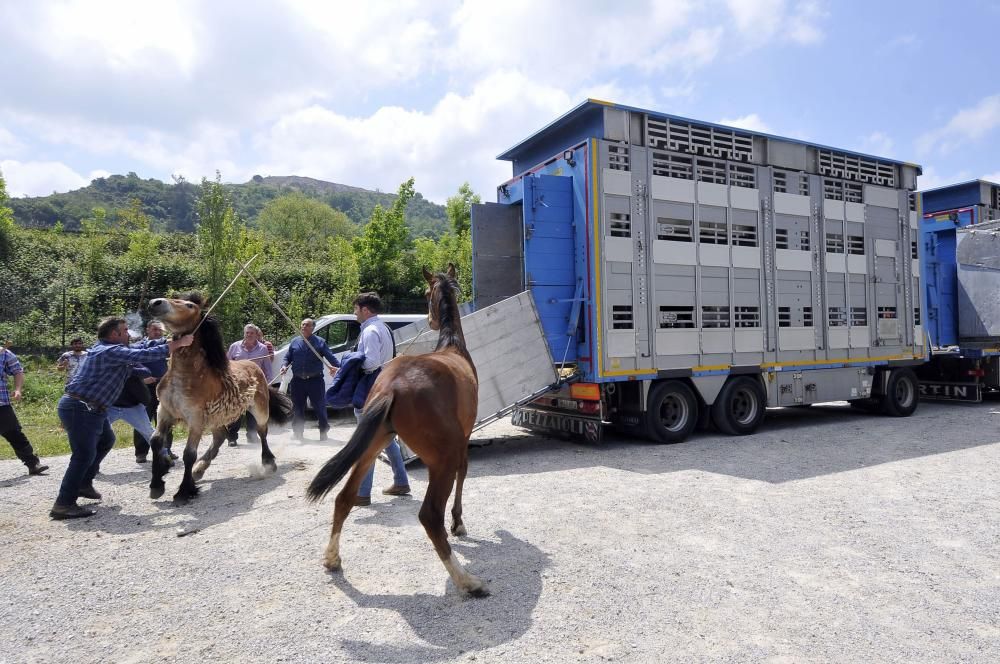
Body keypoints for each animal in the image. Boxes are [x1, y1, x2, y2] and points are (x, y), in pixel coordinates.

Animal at [146, 294, 292, 500]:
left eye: (189, 305)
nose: (155, 303)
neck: (186, 376)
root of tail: (255, 366)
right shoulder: (164, 412)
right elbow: (156, 442)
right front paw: (156, 485)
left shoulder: (196, 420)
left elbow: (188, 454)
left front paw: (184, 491)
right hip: (217, 417)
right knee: (220, 436)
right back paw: (199, 470)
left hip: (260, 410)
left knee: (262, 432)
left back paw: (268, 463)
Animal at [308, 264, 488, 596]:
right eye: (428, 292)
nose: (430, 320)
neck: (452, 346)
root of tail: (391, 387)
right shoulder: (465, 438)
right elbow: (464, 474)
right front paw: (458, 524)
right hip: (440, 460)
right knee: (430, 515)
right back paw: (467, 581)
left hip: (372, 446)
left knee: (344, 498)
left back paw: (332, 558)